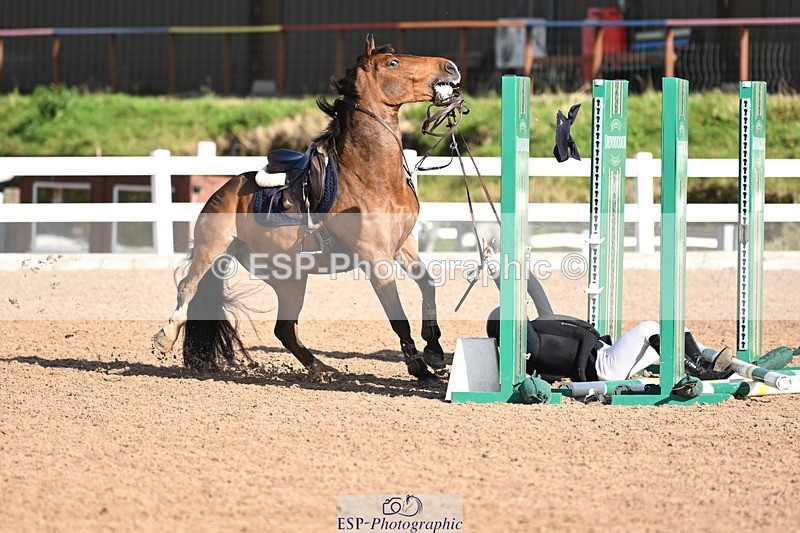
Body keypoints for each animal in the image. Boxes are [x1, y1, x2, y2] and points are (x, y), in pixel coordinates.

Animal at [152, 35, 461, 387]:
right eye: (393, 63)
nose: (449, 66)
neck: (371, 174)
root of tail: (222, 191)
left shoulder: (402, 245)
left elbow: (428, 284)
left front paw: (434, 350)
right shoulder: (374, 257)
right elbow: (398, 317)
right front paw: (418, 367)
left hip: (289, 277)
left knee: (284, 329)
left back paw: (322, 369)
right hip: (212, 248)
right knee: (187, 287)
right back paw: (165, 336)